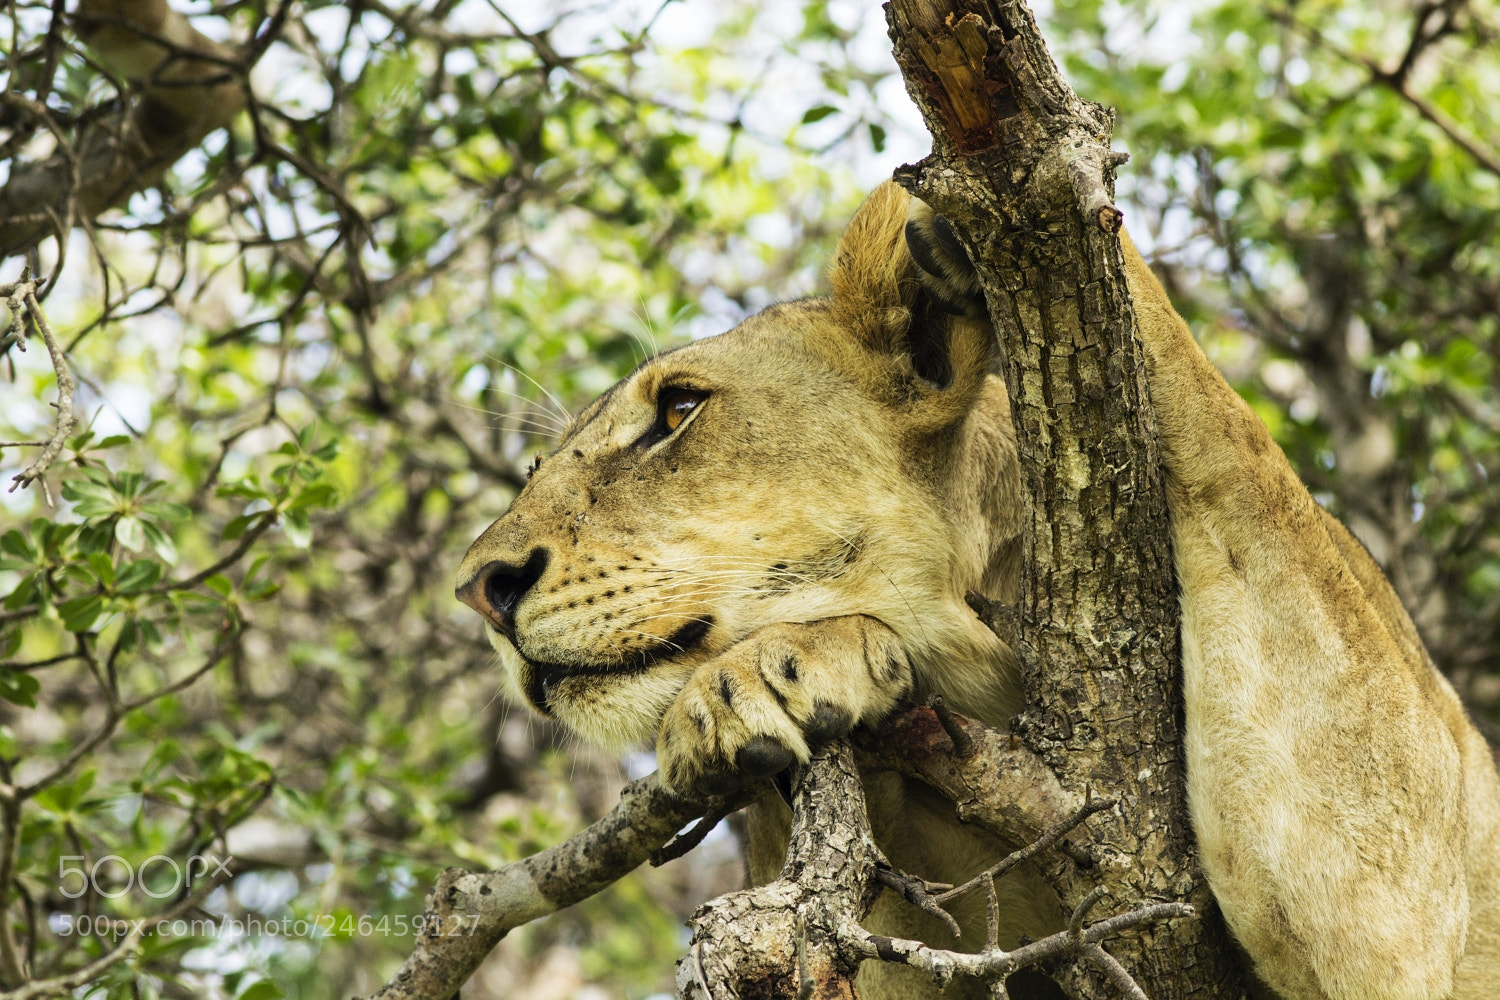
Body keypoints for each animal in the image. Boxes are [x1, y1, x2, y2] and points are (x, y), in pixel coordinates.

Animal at [455, 181, 1500, 1000]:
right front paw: (753, 694)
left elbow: (1236, 448)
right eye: (540, 461)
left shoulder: (1389, 896)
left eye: (677, 410)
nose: (480, 591)